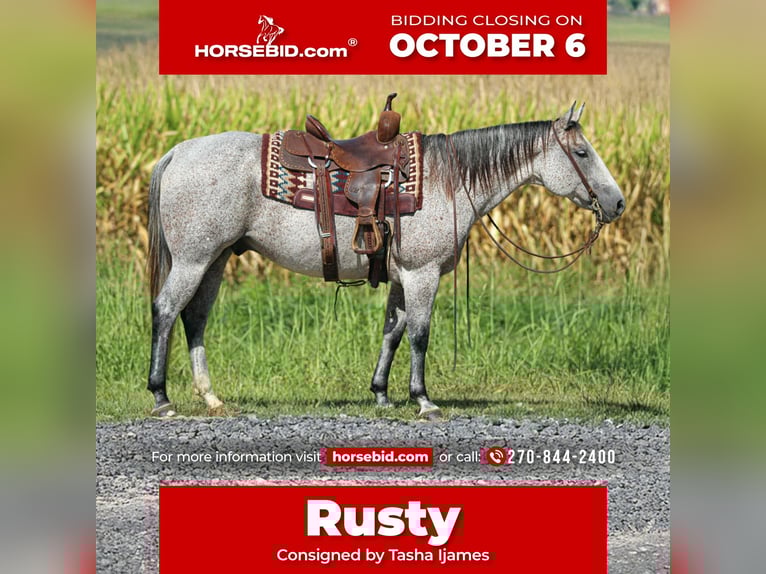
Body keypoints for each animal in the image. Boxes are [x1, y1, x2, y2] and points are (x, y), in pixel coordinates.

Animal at [146, 102, 625, 418]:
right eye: (581, 153)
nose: (617, 202)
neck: (448, 181)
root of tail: (178, 152)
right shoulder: (421, 274)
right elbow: (419, 335)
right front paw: (423, 399)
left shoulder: (401, 277)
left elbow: (392, 333)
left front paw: (381, 393)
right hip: (193, 260)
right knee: (166, 310)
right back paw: (161, 397)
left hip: (215, 259)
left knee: (195, 318)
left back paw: (209, 396)